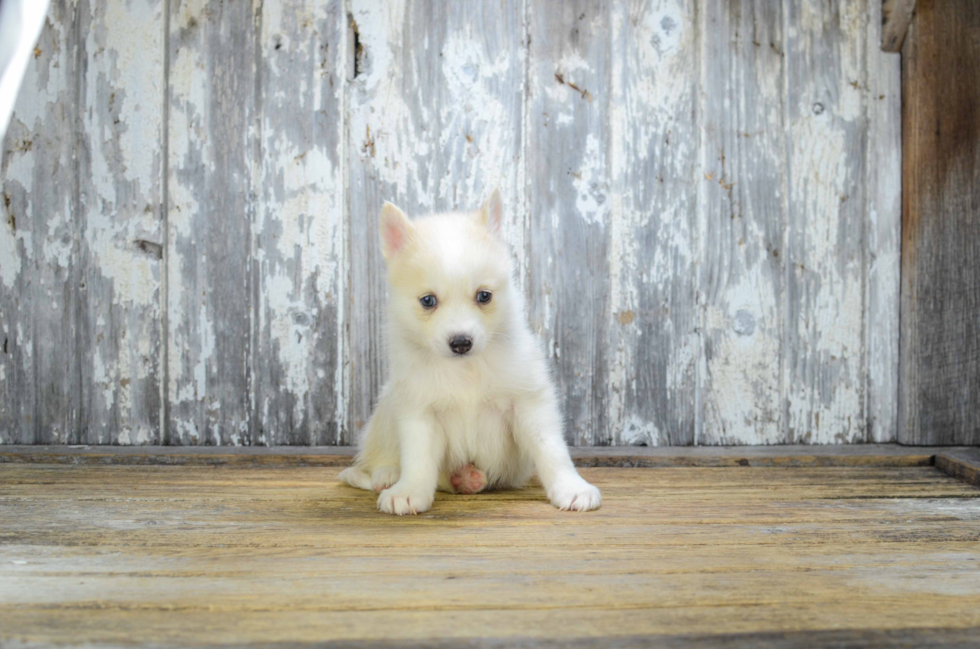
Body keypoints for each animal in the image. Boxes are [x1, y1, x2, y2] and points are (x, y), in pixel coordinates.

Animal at [344, 190, 604, 512]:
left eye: (484, 296)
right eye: (428, 300)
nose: (461, 343)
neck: (465, 368)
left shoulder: (530, 403)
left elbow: (551, 450)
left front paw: (571, 487)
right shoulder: (418, 411)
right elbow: (418, 459)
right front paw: (409, 490)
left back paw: (465, 479)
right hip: (388, 404)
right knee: (380, 458)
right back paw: (390, 475)